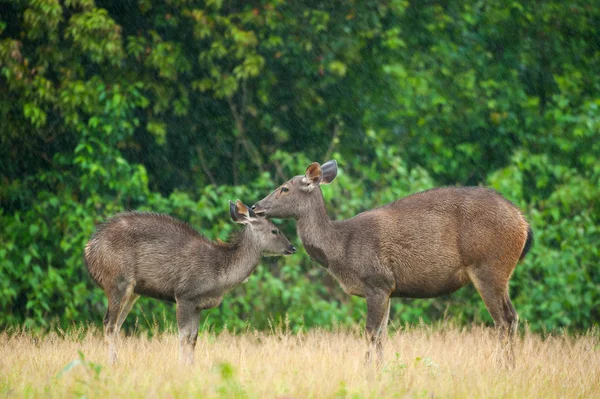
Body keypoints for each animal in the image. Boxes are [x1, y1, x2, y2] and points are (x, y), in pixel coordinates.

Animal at [85, 200, 298, 366]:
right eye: (274, 230)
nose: (292, 247)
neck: (219, 275)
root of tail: (89, 250)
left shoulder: (198, 304)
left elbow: (194, 338)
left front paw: (191, 365)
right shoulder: (184, 295)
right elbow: (183, 336)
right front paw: (181, 366)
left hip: (133, 292)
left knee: (116, 325)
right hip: (118, 281)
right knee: (109, 323)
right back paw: (111, 363)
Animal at [251, 161, 532, 368]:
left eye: (284, 188)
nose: (255, 207)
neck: (341, 249)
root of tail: (523, 223)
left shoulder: (376, 281)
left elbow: (370, 332)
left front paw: (367, 369)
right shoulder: (388, 289)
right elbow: (382, 334)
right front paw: (380, 368)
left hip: (489, 266)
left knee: (504, 320)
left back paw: (503, 366)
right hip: (498, 272)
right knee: (513, 317)